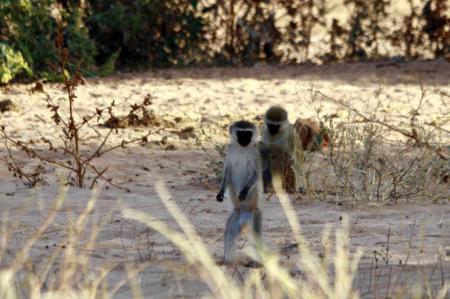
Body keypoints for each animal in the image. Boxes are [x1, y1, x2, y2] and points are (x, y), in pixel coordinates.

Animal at [215, 120, 262, 264]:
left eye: (248, 133)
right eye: (241, 133)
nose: (245, 140)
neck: (242, 149)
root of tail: (244, 215)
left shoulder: (255, 153)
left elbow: (255, 174)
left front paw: (244, 192)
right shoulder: (229, 152)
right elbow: (227, 172)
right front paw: (220, 193)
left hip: (254, 214)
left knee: (256, 236)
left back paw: (258, 262)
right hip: (236, 215)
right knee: (229, 232)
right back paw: (227, 260)